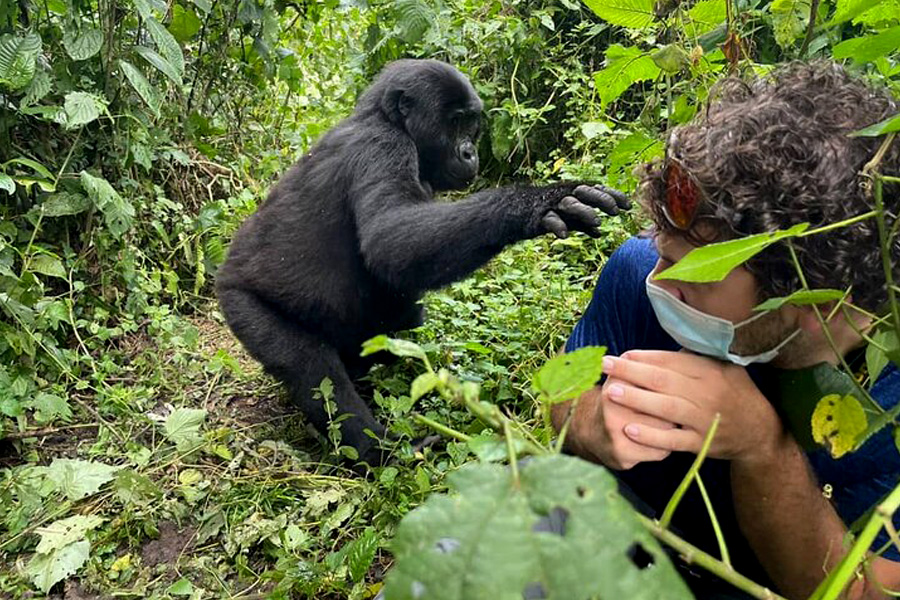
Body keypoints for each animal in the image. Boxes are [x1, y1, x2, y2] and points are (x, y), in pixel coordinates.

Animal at [216, 59, 624, 464]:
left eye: (470, 123)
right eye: (455, 122)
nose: (469, 153)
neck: (384, 118)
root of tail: (223, 276)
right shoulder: (383, 146)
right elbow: (389, 242)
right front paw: (536, 203)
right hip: (244, 307)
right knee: (312, 369)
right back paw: (379, 450)